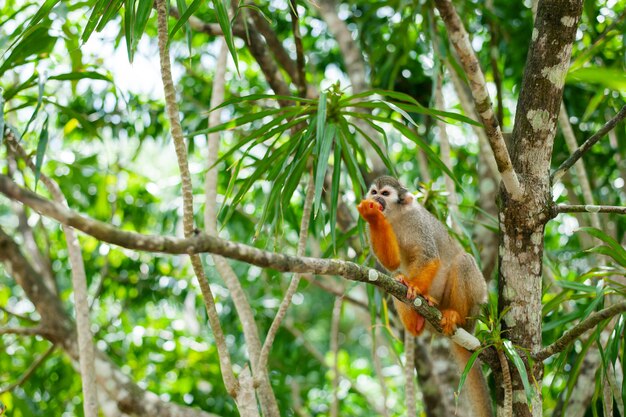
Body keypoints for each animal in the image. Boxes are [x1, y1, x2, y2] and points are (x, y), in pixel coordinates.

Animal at [358, 175, 490, 416]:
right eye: (374, 192)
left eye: (385, 193)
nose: (377, 199)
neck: (396, 215)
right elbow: (392, 263)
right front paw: (372, 216)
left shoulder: (418, 221)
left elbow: (428, 257)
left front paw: (415, 288)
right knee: (394, 276)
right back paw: (414, 323)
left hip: (475, 308)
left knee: (463, 261)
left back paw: (453, 316)